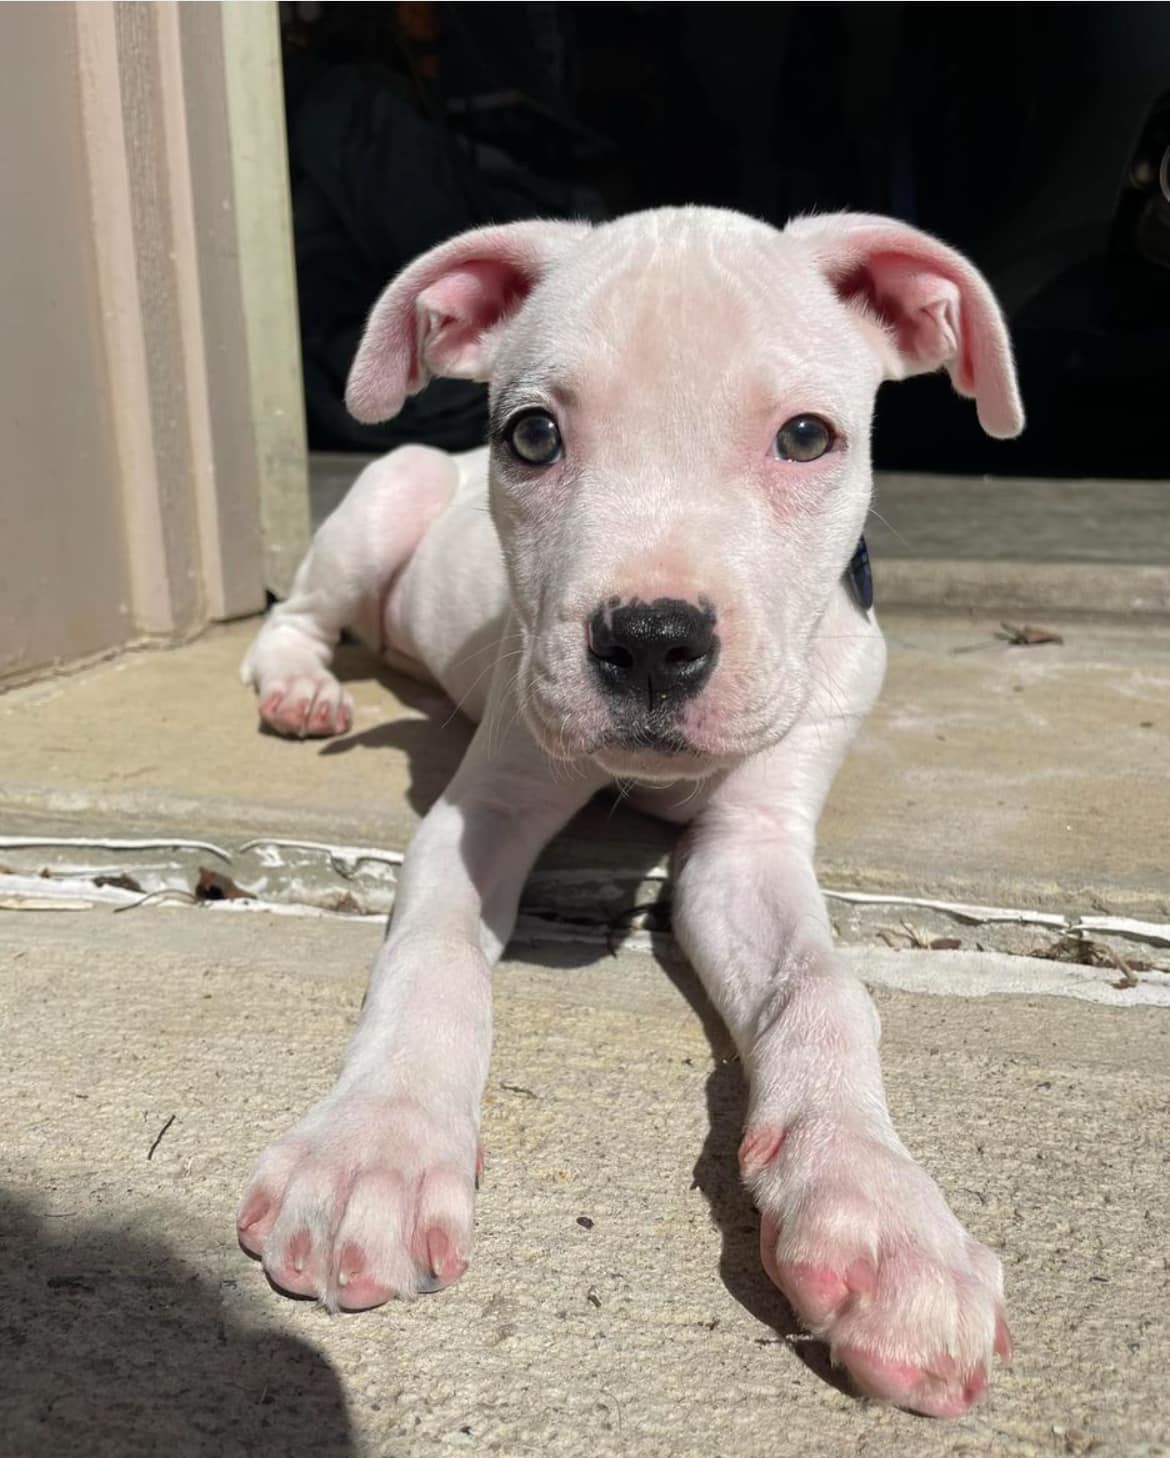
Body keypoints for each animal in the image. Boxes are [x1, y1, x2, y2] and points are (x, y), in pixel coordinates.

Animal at [239, 211, 1021, 1417]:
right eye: (532, 436)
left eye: (807, 436)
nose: (652, 639)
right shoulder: (485, 808)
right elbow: (433, 958)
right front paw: (373, 1151)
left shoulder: (749, 849)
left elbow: (824, 992)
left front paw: (887, 1225)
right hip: (380, 503)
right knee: (297, 616)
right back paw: (299, 689)